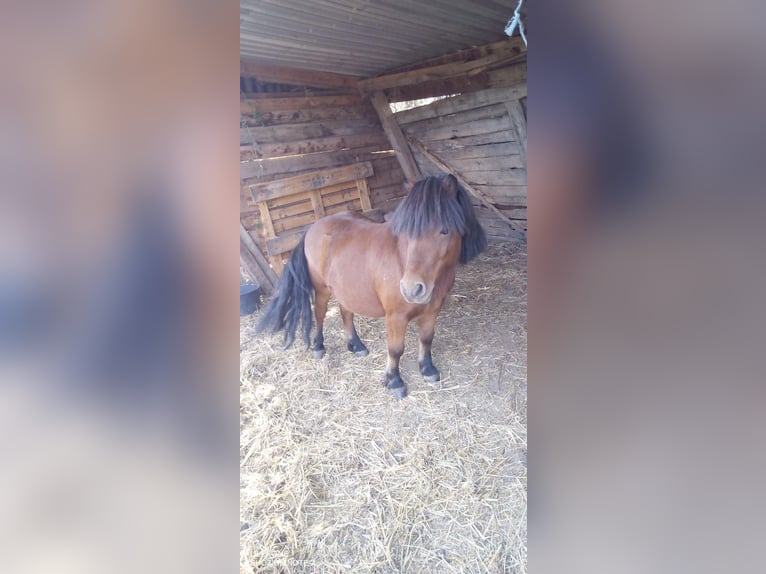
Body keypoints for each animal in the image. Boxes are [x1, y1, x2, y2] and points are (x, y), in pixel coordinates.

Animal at [256, 173, 487, 398]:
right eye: (408, 232)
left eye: (445, 230)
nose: (411, 289)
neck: (402, 259)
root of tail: (313, 227)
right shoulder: (395, 317)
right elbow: (395, 349)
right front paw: (394, 381)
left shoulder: (433, 310)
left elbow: (427, 338)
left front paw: (427, 369)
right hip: (322, 289)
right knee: (320, 314)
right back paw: (319, 346)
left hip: (345, 288)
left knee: (346, 313)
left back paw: (356, 345)